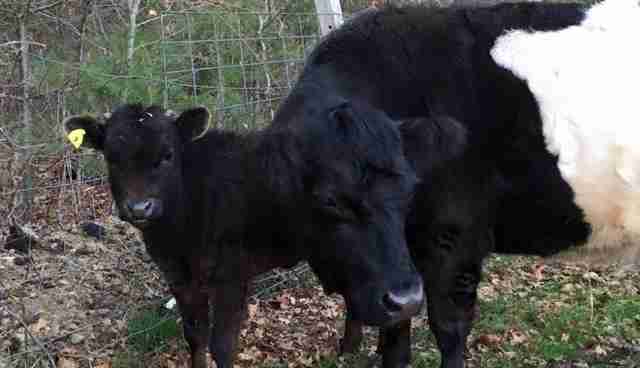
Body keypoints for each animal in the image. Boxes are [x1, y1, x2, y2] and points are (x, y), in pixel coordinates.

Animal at [63, 99, 424, 366]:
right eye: (112, 157)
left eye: (167, 155)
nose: (140, 208)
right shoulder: (178, 277)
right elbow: (195, 336)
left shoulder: (231, 277)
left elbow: (222, 344)